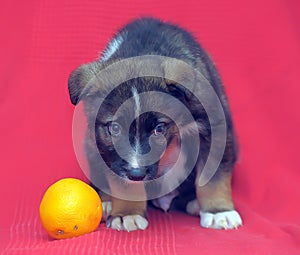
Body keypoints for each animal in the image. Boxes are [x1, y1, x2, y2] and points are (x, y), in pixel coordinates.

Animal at [67, 17, 241, 231]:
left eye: (159, 129)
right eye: (114, 128)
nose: (136, 173)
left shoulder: (214, 128)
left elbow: (213, 176)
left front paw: (218, 212)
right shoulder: (109, 152)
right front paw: (128, 214)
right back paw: (106, 202)